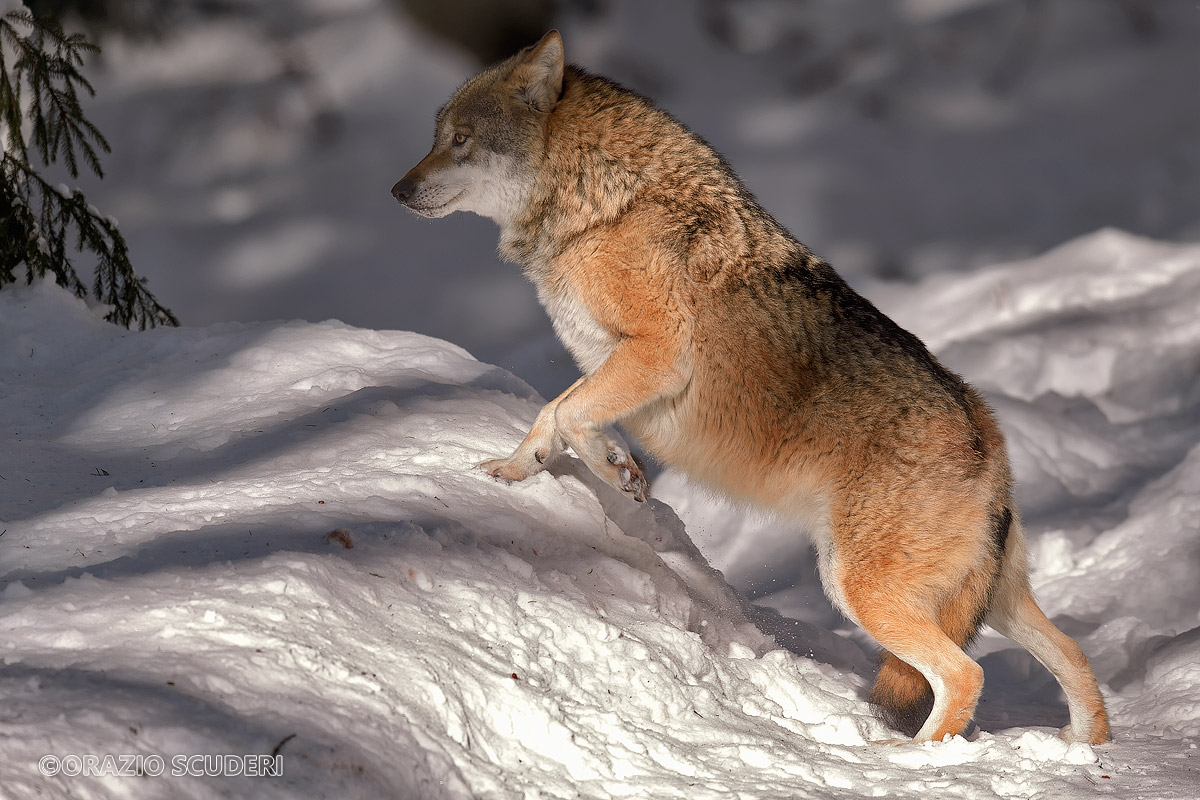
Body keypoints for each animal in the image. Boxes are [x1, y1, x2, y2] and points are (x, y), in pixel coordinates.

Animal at [390, 31, 1109, 745]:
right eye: (437, 135)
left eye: (460, 139)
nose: (397, 189)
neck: (606, 208)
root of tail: (985, 432)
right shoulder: (611, 366)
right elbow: (556, 413)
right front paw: (518, 471)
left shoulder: (658, 357)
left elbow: (566, 414)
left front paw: (603, 468)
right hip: (989, 599)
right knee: (1073, 656)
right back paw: (1079, 749)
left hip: (860, 589)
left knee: (965, 675)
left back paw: (913, 759)